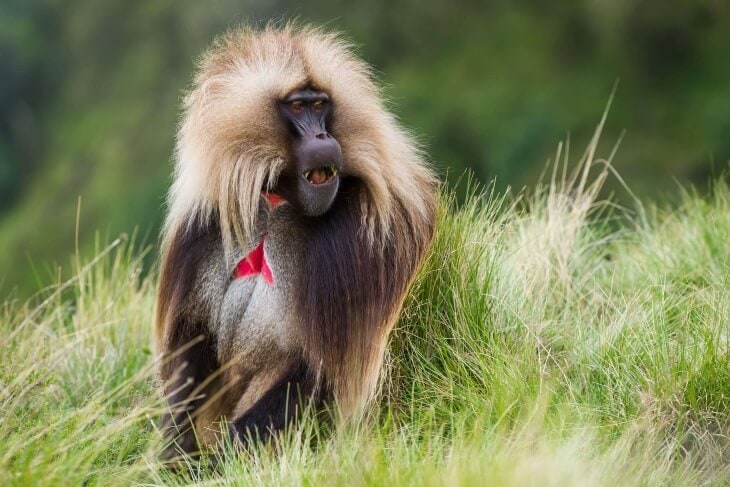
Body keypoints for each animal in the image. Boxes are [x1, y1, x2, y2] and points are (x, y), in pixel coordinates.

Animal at [155, 24, 437, 460]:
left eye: (321, 105)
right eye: (298, 107)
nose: (322, 135)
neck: (279, 203)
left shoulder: (361, 237)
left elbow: (316, 369)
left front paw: (211, 465)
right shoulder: (206, 223)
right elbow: (193, 337)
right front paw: (174, 453)